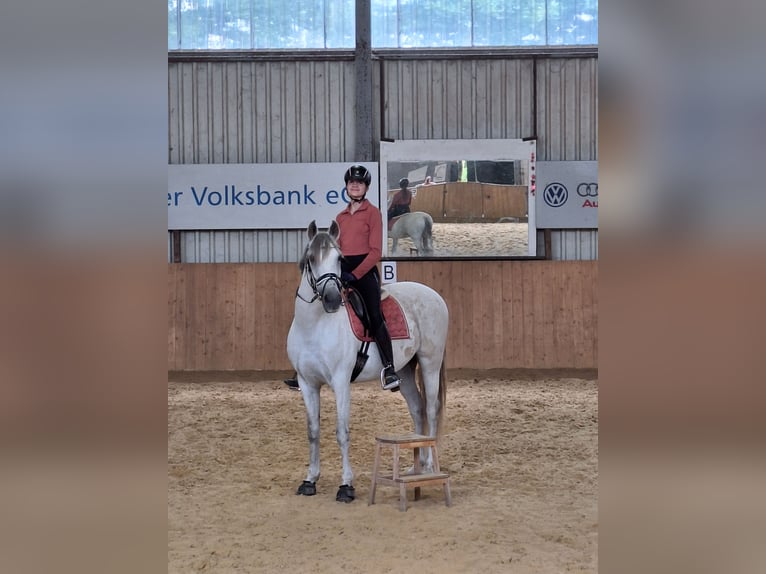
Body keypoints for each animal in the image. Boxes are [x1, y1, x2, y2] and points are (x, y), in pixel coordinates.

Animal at [286, 220, 449, 503]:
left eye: (339, 259)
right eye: (311, 258)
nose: (331, 299)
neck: (314, 325)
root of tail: (433, 295)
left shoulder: (341, 383)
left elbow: (342, 433)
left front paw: (346, 486)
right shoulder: (308, 384)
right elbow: (313, 431)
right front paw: (310, 480)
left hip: (430, 363)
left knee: (430, 408)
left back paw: (428, 465)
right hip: (405, 371)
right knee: (417, 409)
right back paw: (415, 467)